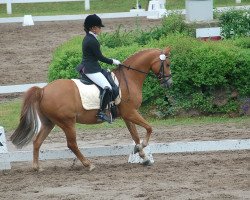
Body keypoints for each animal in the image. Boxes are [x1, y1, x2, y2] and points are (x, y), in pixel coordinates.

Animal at [10, 47, 172, 171]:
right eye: (168, 64)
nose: (169, 83)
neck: (129, 78)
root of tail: (43, 90)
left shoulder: (127, 115)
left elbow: (135, 136)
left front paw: (143, 156)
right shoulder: (130, 112)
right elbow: (149, 128)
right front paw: (142, 148)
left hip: (49, 122)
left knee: (37, 142)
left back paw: (37, 167)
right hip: (67, 122)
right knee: (72, 144)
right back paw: (88, 164)